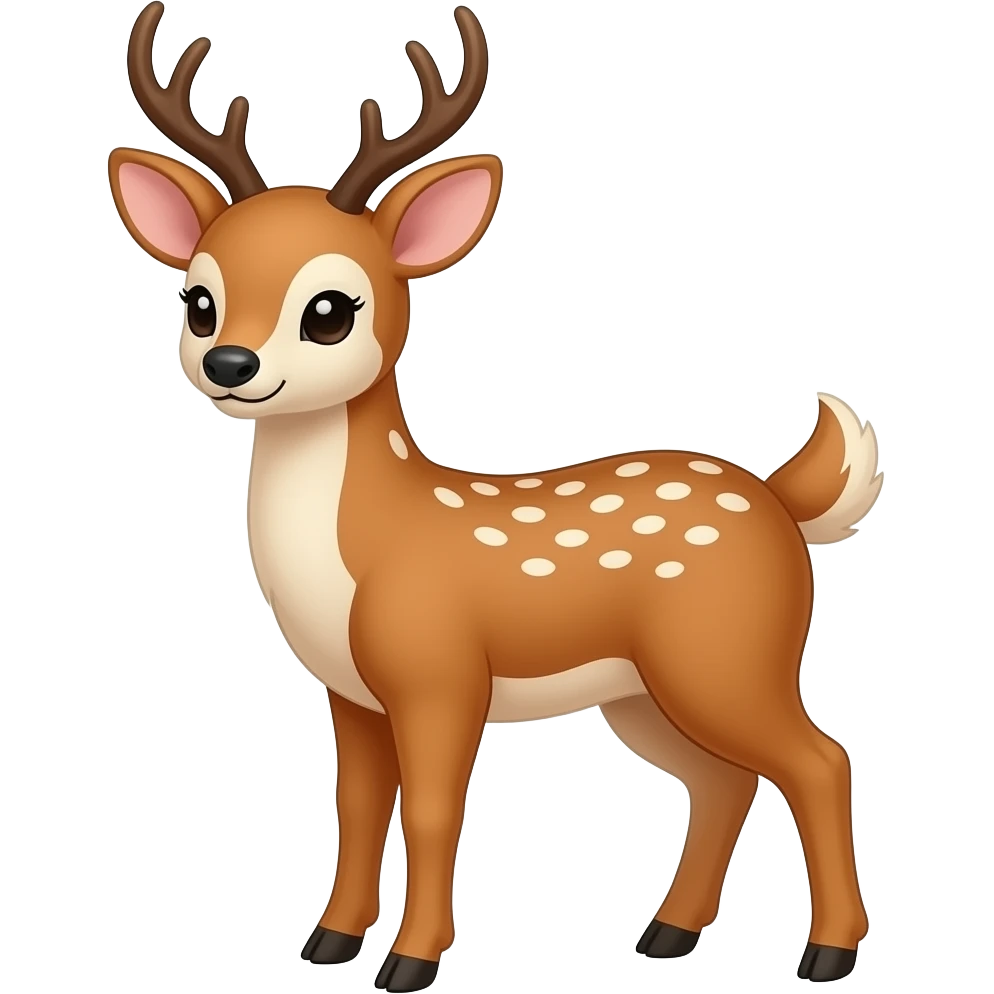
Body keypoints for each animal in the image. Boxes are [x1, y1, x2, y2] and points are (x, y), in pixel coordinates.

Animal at [107, 2, 883, 988]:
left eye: (331, 310)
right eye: (198, 301)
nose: (230, 365)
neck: (369, 548)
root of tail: (782, 501)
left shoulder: (440, 674)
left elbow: (435, 811)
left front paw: (411, 962)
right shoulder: (352, 695)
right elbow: (359, 809)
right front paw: (329, 943)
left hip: (728, 656)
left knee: (820, 761)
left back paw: (826, 953)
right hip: (644, 690)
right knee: (724, 778)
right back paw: (666, 934)